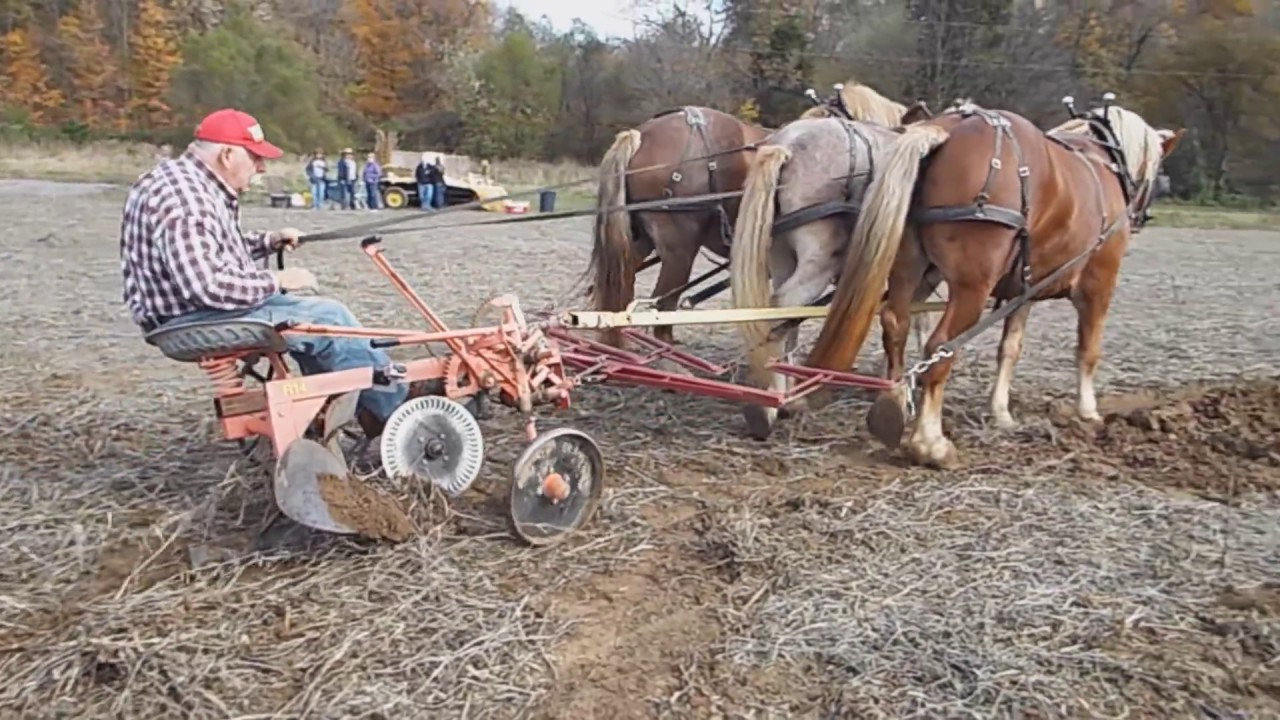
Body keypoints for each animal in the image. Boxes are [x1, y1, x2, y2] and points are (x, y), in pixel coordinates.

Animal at [803, 98, 1182, 466]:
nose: (1142, 217)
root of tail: (945, 128)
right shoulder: (1098, 282)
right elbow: (1088, 351)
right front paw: (1088, 411)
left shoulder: (1024, 288)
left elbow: (1009, 348)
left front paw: (1001, 411)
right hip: (971, 286)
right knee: (941, 346)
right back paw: (930, 444)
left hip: (909, 268)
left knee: (896, 326)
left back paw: (892, 401)